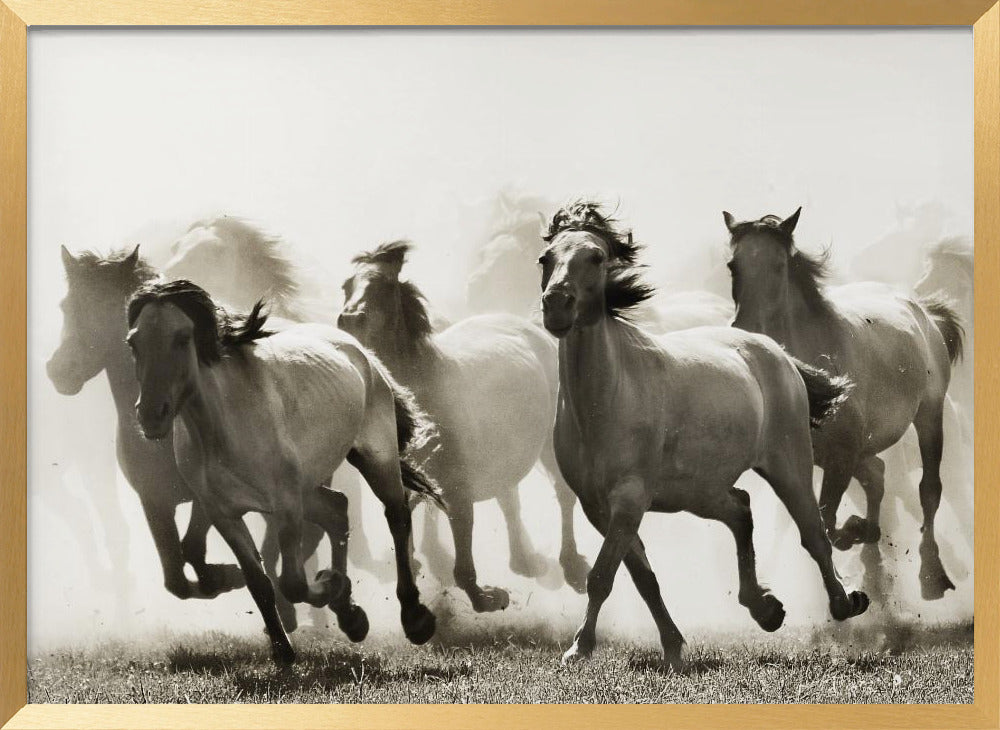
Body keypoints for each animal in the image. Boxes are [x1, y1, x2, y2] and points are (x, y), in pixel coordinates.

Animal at [126, 280, 440, 664]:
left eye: (183, 337)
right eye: (134, 342)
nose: (150, 415)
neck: (224, 426)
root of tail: (360, 351)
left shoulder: (285, 504)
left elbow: (291, 582)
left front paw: (328, 585)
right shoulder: (223, 513)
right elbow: (259, 582)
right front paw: (283, 649)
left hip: (375, 458)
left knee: (396, 515)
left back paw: (414, 618)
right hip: (308, 486)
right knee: (337, 509)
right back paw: (351, 617)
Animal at [338, 241, 591, 611]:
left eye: (384, 286)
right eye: (346, 286)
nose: (348, 320)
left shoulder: (457, 488)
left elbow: (462, 561)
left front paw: (487, 597)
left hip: (548, 443)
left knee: (563, 495)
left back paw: (572, 567)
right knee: (508, 498)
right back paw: (525, 561)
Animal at [538, 201, 868, 667]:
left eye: (597, 257)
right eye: (545, 259)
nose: (556, 305)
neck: (606, 400)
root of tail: (776, 351)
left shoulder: (629, 500)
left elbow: (602, 575)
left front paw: (578, 648)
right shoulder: (597, 507)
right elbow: (643, 578)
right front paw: (673, 647)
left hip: (788, 466)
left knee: (814, 534)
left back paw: (844, 603)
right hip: (699, 491)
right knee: (741, 509)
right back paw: (765, 608)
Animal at [723, 208, 964, 602]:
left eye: (779, 265)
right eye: (733, 265)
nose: (746, 328)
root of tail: (924, 312)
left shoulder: (842, 455)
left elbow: (827, 521)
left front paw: (855, 534)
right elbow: (825, 521)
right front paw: (861, 533)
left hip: (929, 415)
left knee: (929, 490)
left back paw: (931, 575)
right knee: (878, 475)